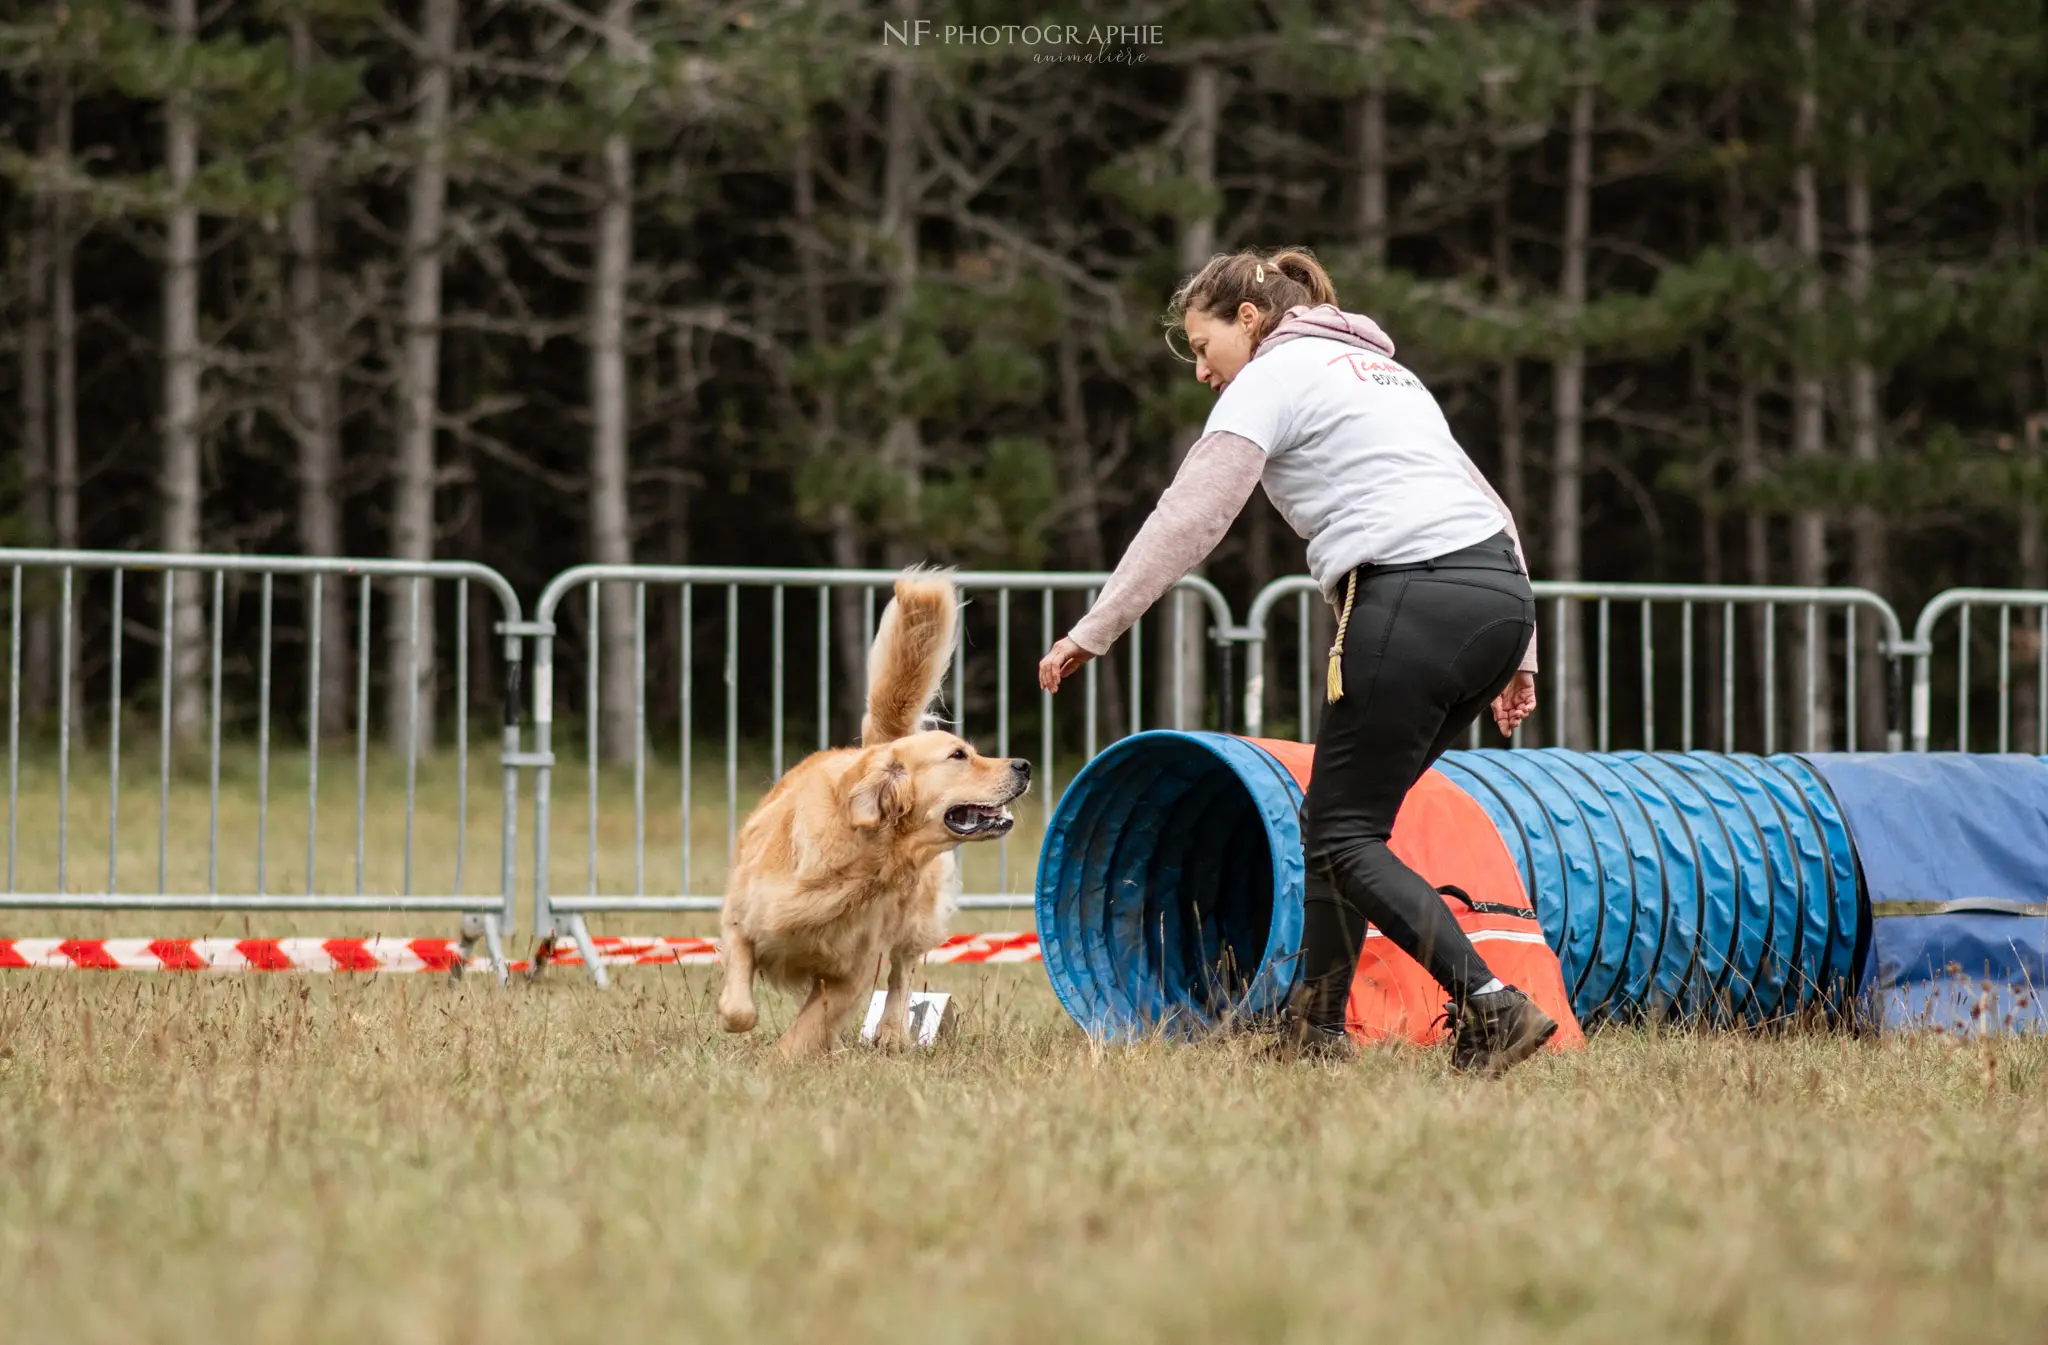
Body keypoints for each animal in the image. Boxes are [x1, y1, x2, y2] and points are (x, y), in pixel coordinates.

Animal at [724, 569, 1040, 1056]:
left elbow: (806, 1029)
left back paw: (892, 1034)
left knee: (901, 972)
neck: (858, 860)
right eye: (958, 755)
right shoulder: (742, 919)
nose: (1023, 765)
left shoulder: (850, 973)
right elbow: (739, 1007)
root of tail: (885, 744)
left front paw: (783, 1059)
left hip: (915, 920)